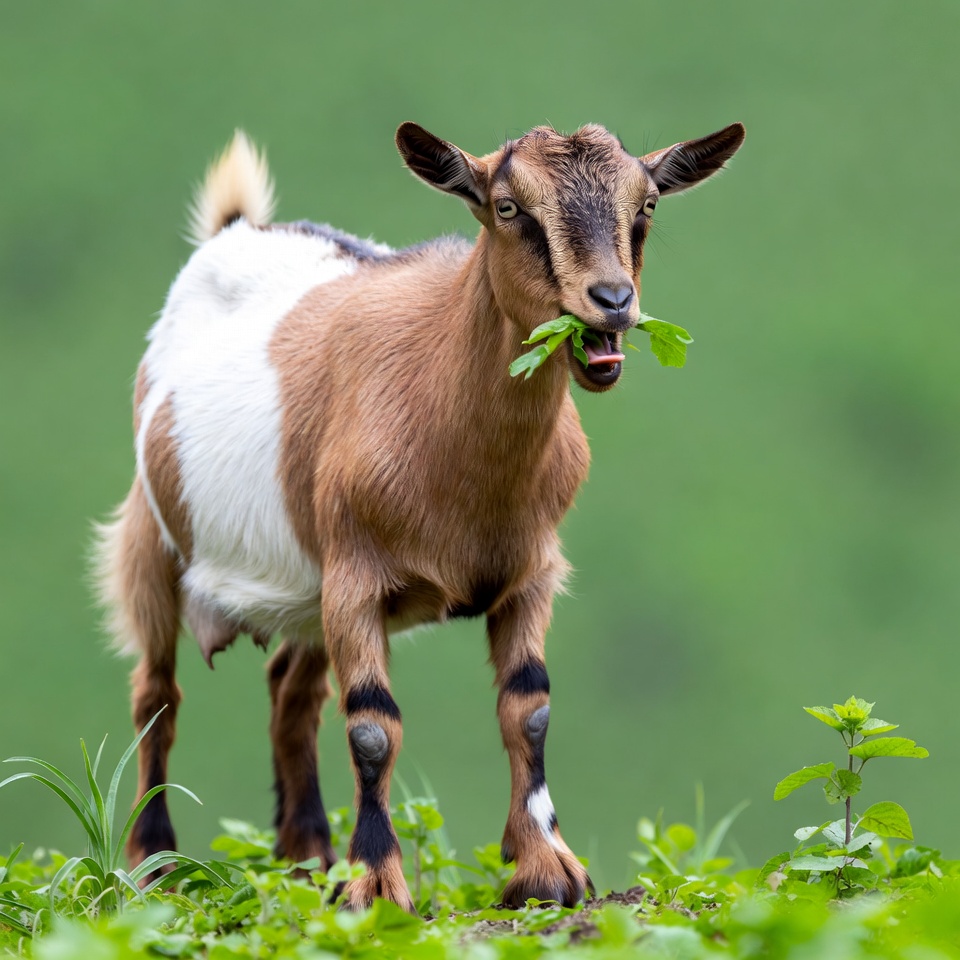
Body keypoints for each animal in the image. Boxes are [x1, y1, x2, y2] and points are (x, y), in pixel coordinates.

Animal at [95, 120, 744, 911]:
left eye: (646, 204)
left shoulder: (531, 573)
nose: (612, 299)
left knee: (292, 693)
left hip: (306, 586)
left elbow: (529, 709)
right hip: (152, 539)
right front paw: (377, 885)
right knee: (156, 694)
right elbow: (373, 727)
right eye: (507, 208)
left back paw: (307, 860)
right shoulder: (356, 578)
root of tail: (235, 227)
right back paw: (155, 867)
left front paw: (545, 870)